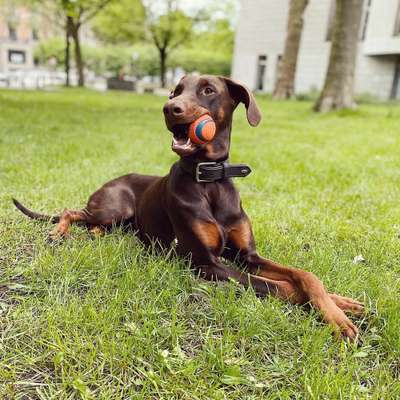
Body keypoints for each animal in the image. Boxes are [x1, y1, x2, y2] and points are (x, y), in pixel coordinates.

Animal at [13, 74, 362, 338]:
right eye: (175, 91)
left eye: (208, 90)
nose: (170, 108)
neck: (210, 180)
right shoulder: (206, 263)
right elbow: (279, 287)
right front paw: (336, 316)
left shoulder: (248, 255)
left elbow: (305, 276)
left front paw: (341, 305)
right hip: (114, 206)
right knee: (72, 212)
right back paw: (59, 233)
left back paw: (96, 233)